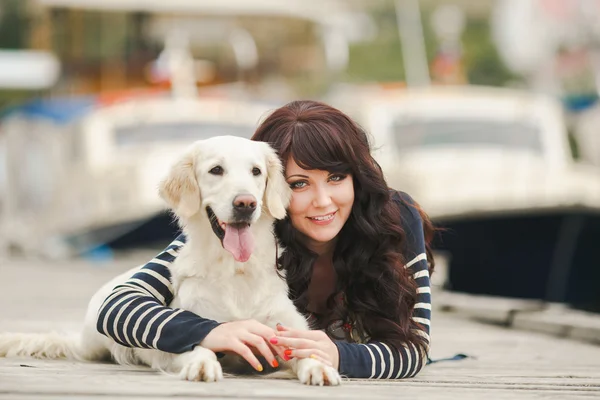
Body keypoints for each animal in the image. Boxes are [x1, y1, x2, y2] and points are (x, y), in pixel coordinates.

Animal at [0, 136, 342, 386]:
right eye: (216, 170)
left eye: (256, 171)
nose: (246, 203)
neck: (235, 270)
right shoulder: (178, 340)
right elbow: (197, 342)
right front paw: (202, 364)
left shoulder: (286, 330)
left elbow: (309, 351)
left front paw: (321, 367)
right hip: (91, 341)